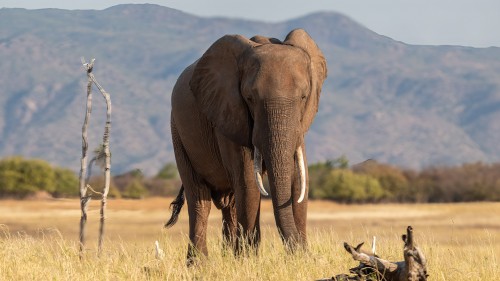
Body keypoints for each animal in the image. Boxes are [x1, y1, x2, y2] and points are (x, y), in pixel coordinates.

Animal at [165, 28, 328, 262]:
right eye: (250, 98)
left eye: (304, 96)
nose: (309, 255)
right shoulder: (229, 114)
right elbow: (249, 182)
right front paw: (249, 260)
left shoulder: (300, 125)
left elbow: (299, 180)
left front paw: (301, 258)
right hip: (178, 132)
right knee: (199, 199)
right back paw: (199, 264)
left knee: (230, 204)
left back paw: (227, 258)